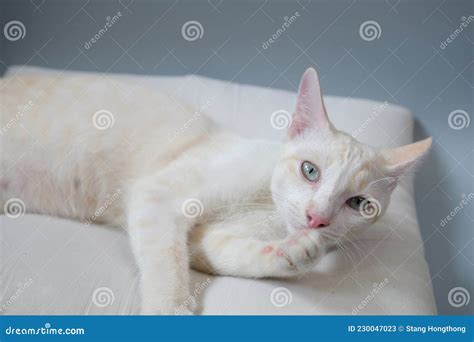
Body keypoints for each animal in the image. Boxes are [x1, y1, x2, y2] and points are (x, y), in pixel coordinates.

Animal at [0, 69, 430, 316]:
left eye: (358, 204)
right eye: (310, 171)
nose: (317, 218)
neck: (267, 208)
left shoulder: (204, 241)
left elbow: (225, 253)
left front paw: (293, 252)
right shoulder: (158, 196)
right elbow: (167, 262)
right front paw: (168, 314)